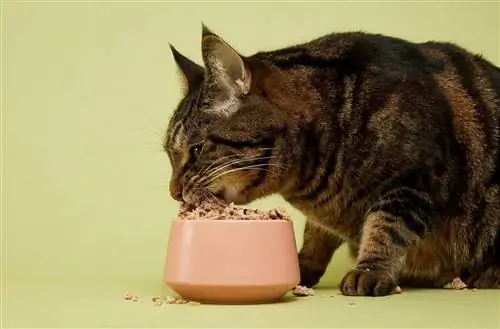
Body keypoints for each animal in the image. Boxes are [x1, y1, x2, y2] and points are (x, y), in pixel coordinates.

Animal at [164, 23, 500, 294]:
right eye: (170, 155)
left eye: (196, 150)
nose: (173, 191)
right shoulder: (327, 214)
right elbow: (316, 235)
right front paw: (300, 266)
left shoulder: (416, 181)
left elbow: (387, 227)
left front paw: (370, 270)